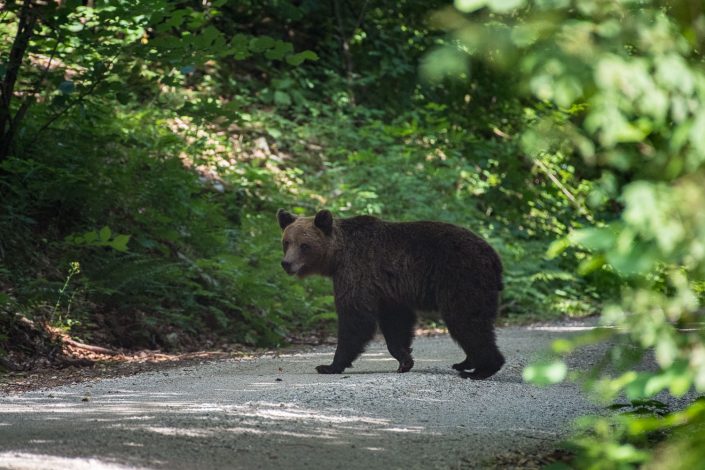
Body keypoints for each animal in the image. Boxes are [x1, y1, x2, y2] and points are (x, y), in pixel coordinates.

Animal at [278, 211, 504, 380]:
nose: (286, 263)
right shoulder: (389, 290)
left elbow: (356, 318)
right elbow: (396, 323)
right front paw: (404, 360)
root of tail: (493, 256)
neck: (337, 258)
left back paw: (482, 369)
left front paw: (329, 365)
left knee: (466, 320)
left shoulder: (358, 271)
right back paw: (465, 363)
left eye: (304, 245)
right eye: (286, 242)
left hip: (461, 277)